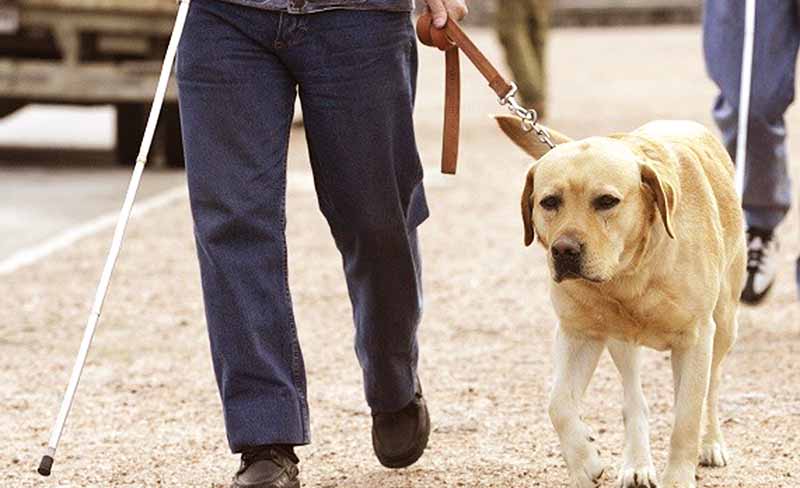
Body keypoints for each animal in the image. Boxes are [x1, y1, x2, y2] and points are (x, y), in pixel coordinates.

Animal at [496, 117, 748, 488]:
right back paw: (637, 464)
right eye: (549, 201)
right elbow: (559, 404)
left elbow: (687, 416)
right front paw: (585, 460)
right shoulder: (579, 333)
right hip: (622, 342)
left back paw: (711, 443)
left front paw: (678, 477)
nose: (564, 251)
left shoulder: (697, 337)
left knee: (710, 388)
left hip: (725, 326)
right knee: (634, 400)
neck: (629, 274)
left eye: (606, 201)